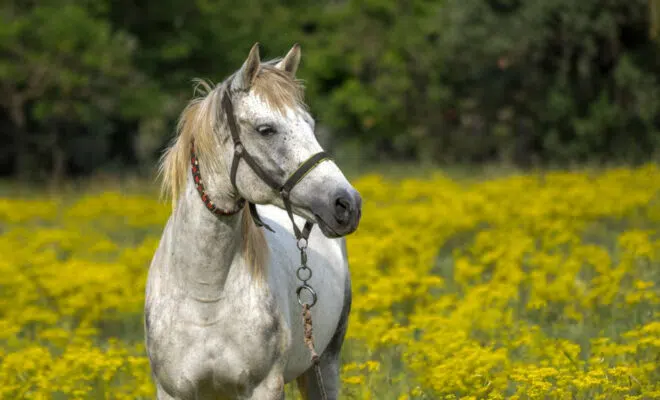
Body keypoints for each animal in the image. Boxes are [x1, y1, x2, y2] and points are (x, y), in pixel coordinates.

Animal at [145, 42, 362, 400]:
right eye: (266, 129)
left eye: (310, 125)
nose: (347, 204)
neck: (206, 296)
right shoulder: (173, 391)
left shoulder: (264, 386)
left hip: (326, 363)